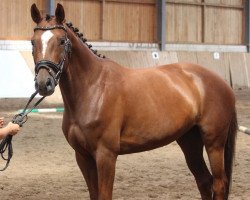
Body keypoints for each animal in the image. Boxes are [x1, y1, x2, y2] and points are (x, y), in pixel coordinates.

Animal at [30, 3, 237, 200]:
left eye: (61, 41)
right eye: (33, 42)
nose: (44, 83)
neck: (93, 87)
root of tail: (221, 82)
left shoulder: (106, 155)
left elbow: (104, 195)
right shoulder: (82, 156)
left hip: (214, 143)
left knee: (219, 184)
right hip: (189, 140)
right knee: (204, 181)